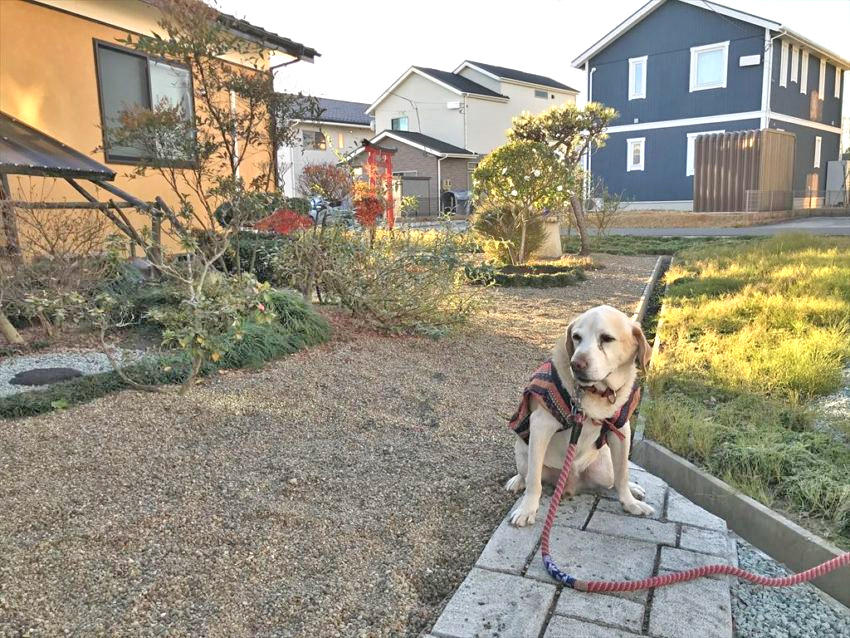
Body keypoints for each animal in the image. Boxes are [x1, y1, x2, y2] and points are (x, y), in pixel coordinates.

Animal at [506, 308, 652, 528]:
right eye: (576, 337)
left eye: (607, 338)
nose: (576, 364)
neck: (596, 393)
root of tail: (570, 483)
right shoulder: (540, 425)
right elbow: (534, 480)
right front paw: (527, 509)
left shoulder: (621, 429)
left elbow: (623, 474)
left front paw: (630, 502)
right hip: (522, 453)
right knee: (526, 473)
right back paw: (517, 481)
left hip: (603, 468)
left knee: (613, 480)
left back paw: (634, 489)